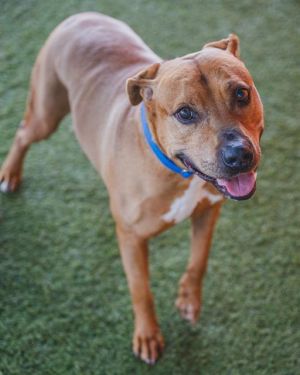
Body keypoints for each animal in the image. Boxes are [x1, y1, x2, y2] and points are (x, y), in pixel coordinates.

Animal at [0, 12, 262, 368]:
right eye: (185, 113)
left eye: (241, 94)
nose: (239, 155)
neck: (179, 171)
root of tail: (80, 15)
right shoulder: (131, 237)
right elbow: (141, 289)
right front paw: (148, 335)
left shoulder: (208, 211)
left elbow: (199, 259)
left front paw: (189, 299)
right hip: (45, 113)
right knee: (23, 132)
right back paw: (10, 173)